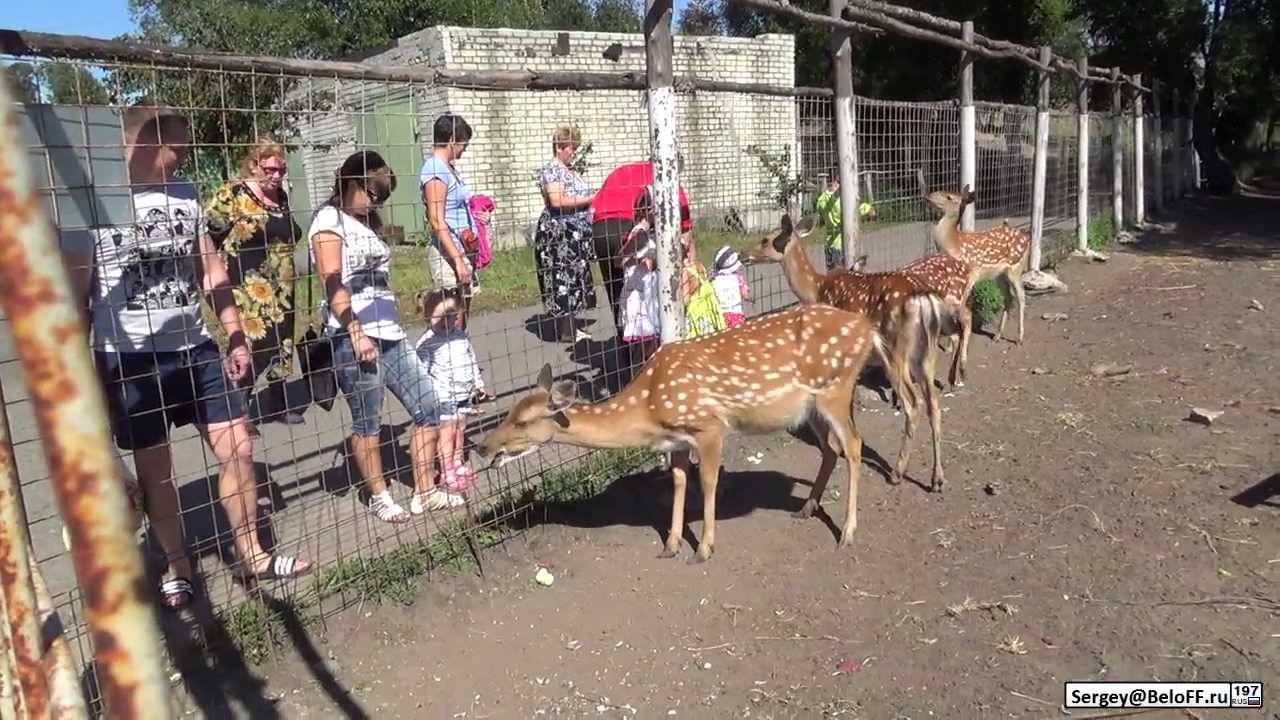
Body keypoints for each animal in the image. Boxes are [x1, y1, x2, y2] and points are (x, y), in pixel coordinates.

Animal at [476, 302, 885, 561]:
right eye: (508, 413)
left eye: (524, 421)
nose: (482, 447)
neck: (649, 406)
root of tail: (868, 328)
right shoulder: (674, 440)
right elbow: (677, 481)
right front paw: (671, 544)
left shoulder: (708, 425)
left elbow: (707, 482)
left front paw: (704, 548)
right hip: (811, 406)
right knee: (831, 448)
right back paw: (806, 509)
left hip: (836, 388)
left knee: (853, 444)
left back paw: (847, 532)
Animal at [921, 183, 1029, 343]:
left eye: (949, 196)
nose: (927, 196)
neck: (952, 243)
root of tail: (1028, 238)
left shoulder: (971, 274)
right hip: (999, 275)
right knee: (1008, 297)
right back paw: (997, 335)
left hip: (1016, 267)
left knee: (1021, 296)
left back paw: (1020, 337)